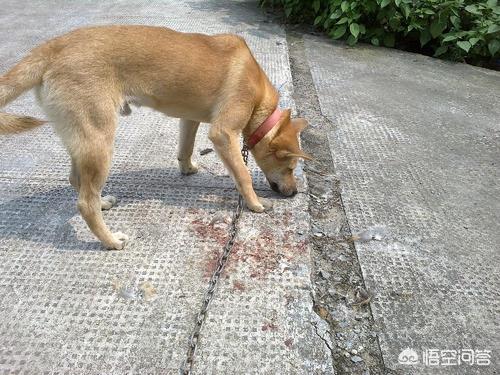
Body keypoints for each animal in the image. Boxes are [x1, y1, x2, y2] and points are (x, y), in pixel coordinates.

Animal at [0, 25, 310, 250]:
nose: (295, 193)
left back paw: (103, 203)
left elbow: (185, 148)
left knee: (78, 182)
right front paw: (255, 203)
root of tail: (54, 46)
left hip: (83, 140)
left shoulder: (190, 119)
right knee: (84, 203)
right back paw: (111, 241)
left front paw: (187, 168)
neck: (260, 102)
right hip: (99, 141)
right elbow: (243, 175)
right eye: (291, 167)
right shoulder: (223, 134)